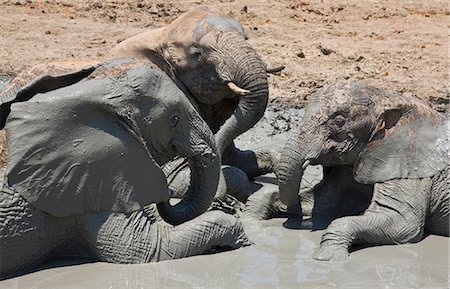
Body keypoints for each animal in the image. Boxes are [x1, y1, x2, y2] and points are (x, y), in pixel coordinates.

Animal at [274, 80, 450, 260]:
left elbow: (404, 224)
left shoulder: (409, 165)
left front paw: (327, 257)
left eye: (339, 121)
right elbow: (327, 200)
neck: (388, 99)